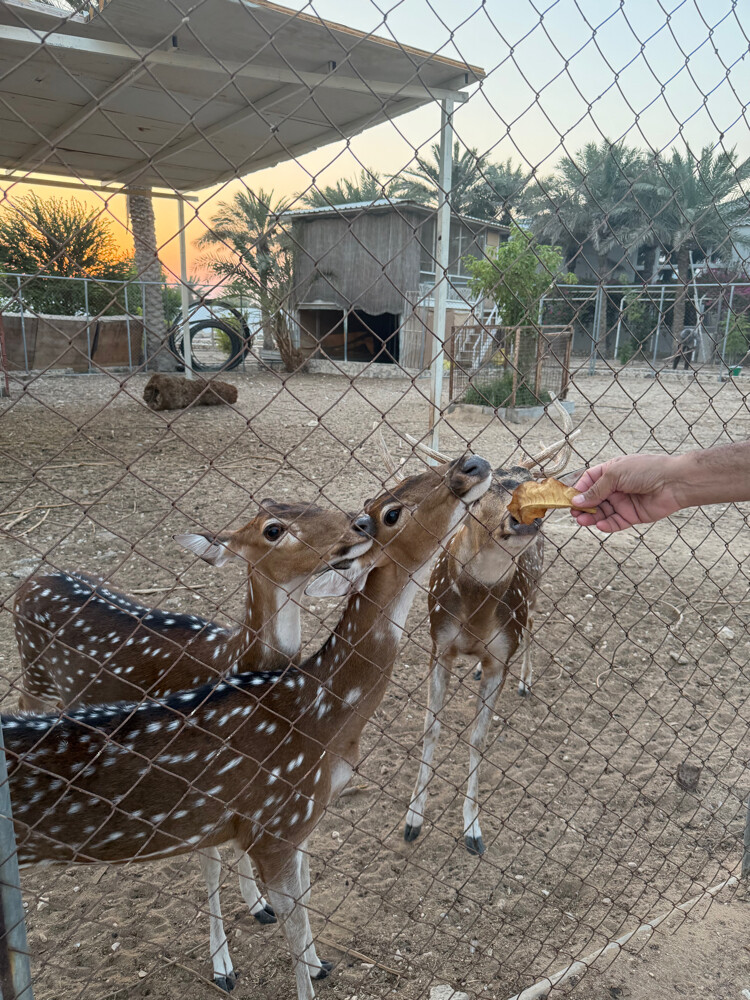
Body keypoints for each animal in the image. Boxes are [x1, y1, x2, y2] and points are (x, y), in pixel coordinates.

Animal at [13, 500, 369, 932]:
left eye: (307, 502)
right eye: (273, 530)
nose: (361, 523)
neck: (233, 659)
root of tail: (30, 579)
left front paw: (259, 906)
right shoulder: (195, 774)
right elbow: (211, 863)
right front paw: (235, 937)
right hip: (35, 675)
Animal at [394, 401, 578, 856]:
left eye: (532, 483)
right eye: (483, 494)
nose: (528, 517)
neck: (475, 613)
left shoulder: (501, 656)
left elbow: (479, 738)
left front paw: (472, 829)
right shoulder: (438, 643)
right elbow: (431, 727)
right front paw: (412, 820)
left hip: (534, 591)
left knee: (534, 625)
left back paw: (527, 682)